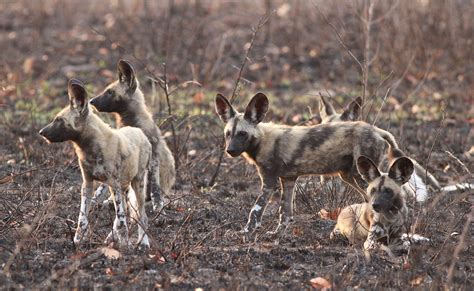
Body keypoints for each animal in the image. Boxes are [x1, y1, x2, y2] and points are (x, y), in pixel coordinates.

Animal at [40, 78, 153, 250]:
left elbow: (121, 219)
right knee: (125, 214)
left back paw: (143, 243)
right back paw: (113, 238)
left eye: (59, 120)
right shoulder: (87, 183)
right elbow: (83, 217)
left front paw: (123, 245)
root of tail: (139, 131)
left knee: (141, 215)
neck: (90, 148)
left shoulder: (113, 184)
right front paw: (78, 239)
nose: (41, 132)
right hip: (123, 188)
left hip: (137, 184)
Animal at [89, 59, 176, 211]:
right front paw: (97, 199)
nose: (91, 101)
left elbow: (154, 187)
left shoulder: (153, 157)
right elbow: (104, 186)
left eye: (110, 92)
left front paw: (158, 204)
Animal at [215, 92, 404, 234]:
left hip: (359, 176)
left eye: (242, 134)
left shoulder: (269, 182)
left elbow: (255, 210)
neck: (262, 139)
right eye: (228, 134)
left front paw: (246, 231)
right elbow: (285, 212)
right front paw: (278, 233)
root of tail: (376, 130)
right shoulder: (288, 180)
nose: (230, 151)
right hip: (349, 176)